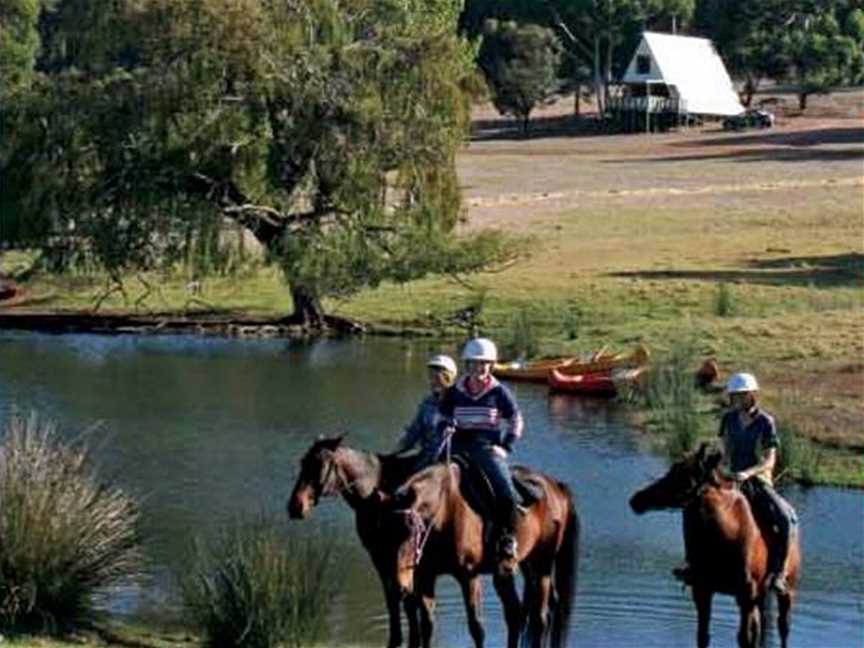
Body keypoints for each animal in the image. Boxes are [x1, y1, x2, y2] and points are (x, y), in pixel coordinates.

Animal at [286, 436, 420, 648]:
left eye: (321, 465)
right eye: (302, 462)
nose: (295, 506)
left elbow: (407, 597)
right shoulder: (379, 553)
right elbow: (392, 596)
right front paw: (396, 638)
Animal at [390, 460, 580, 648]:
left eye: (412, 534)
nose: (401, 587)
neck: (445, 512)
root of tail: (557, 486)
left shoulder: (469, 576)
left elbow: (476, 628)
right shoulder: (427, 575)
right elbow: (428, 624)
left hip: (543, 565)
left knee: (540, 618)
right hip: (522, 566)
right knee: (527, 612)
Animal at [628, 442, 804, 648]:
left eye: (684, 477)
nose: (637, 499)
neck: (727, 535)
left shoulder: (745, 596)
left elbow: (744, 638)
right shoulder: (702, 590)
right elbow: (702, 636)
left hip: (787, 590)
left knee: (783, 627)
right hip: (760, 596)